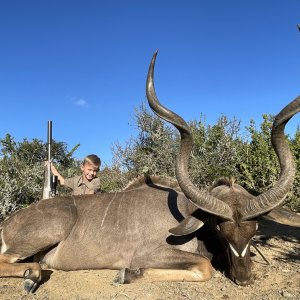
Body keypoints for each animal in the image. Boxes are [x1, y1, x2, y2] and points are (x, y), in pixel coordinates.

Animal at [0, 52, 298, 292]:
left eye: (254, 229)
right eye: (220, 228)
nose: (244, 278)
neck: (188, 213)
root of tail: (7, 223)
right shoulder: (146, 253)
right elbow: (205, 267)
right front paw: (126, 275)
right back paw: (31, 276)